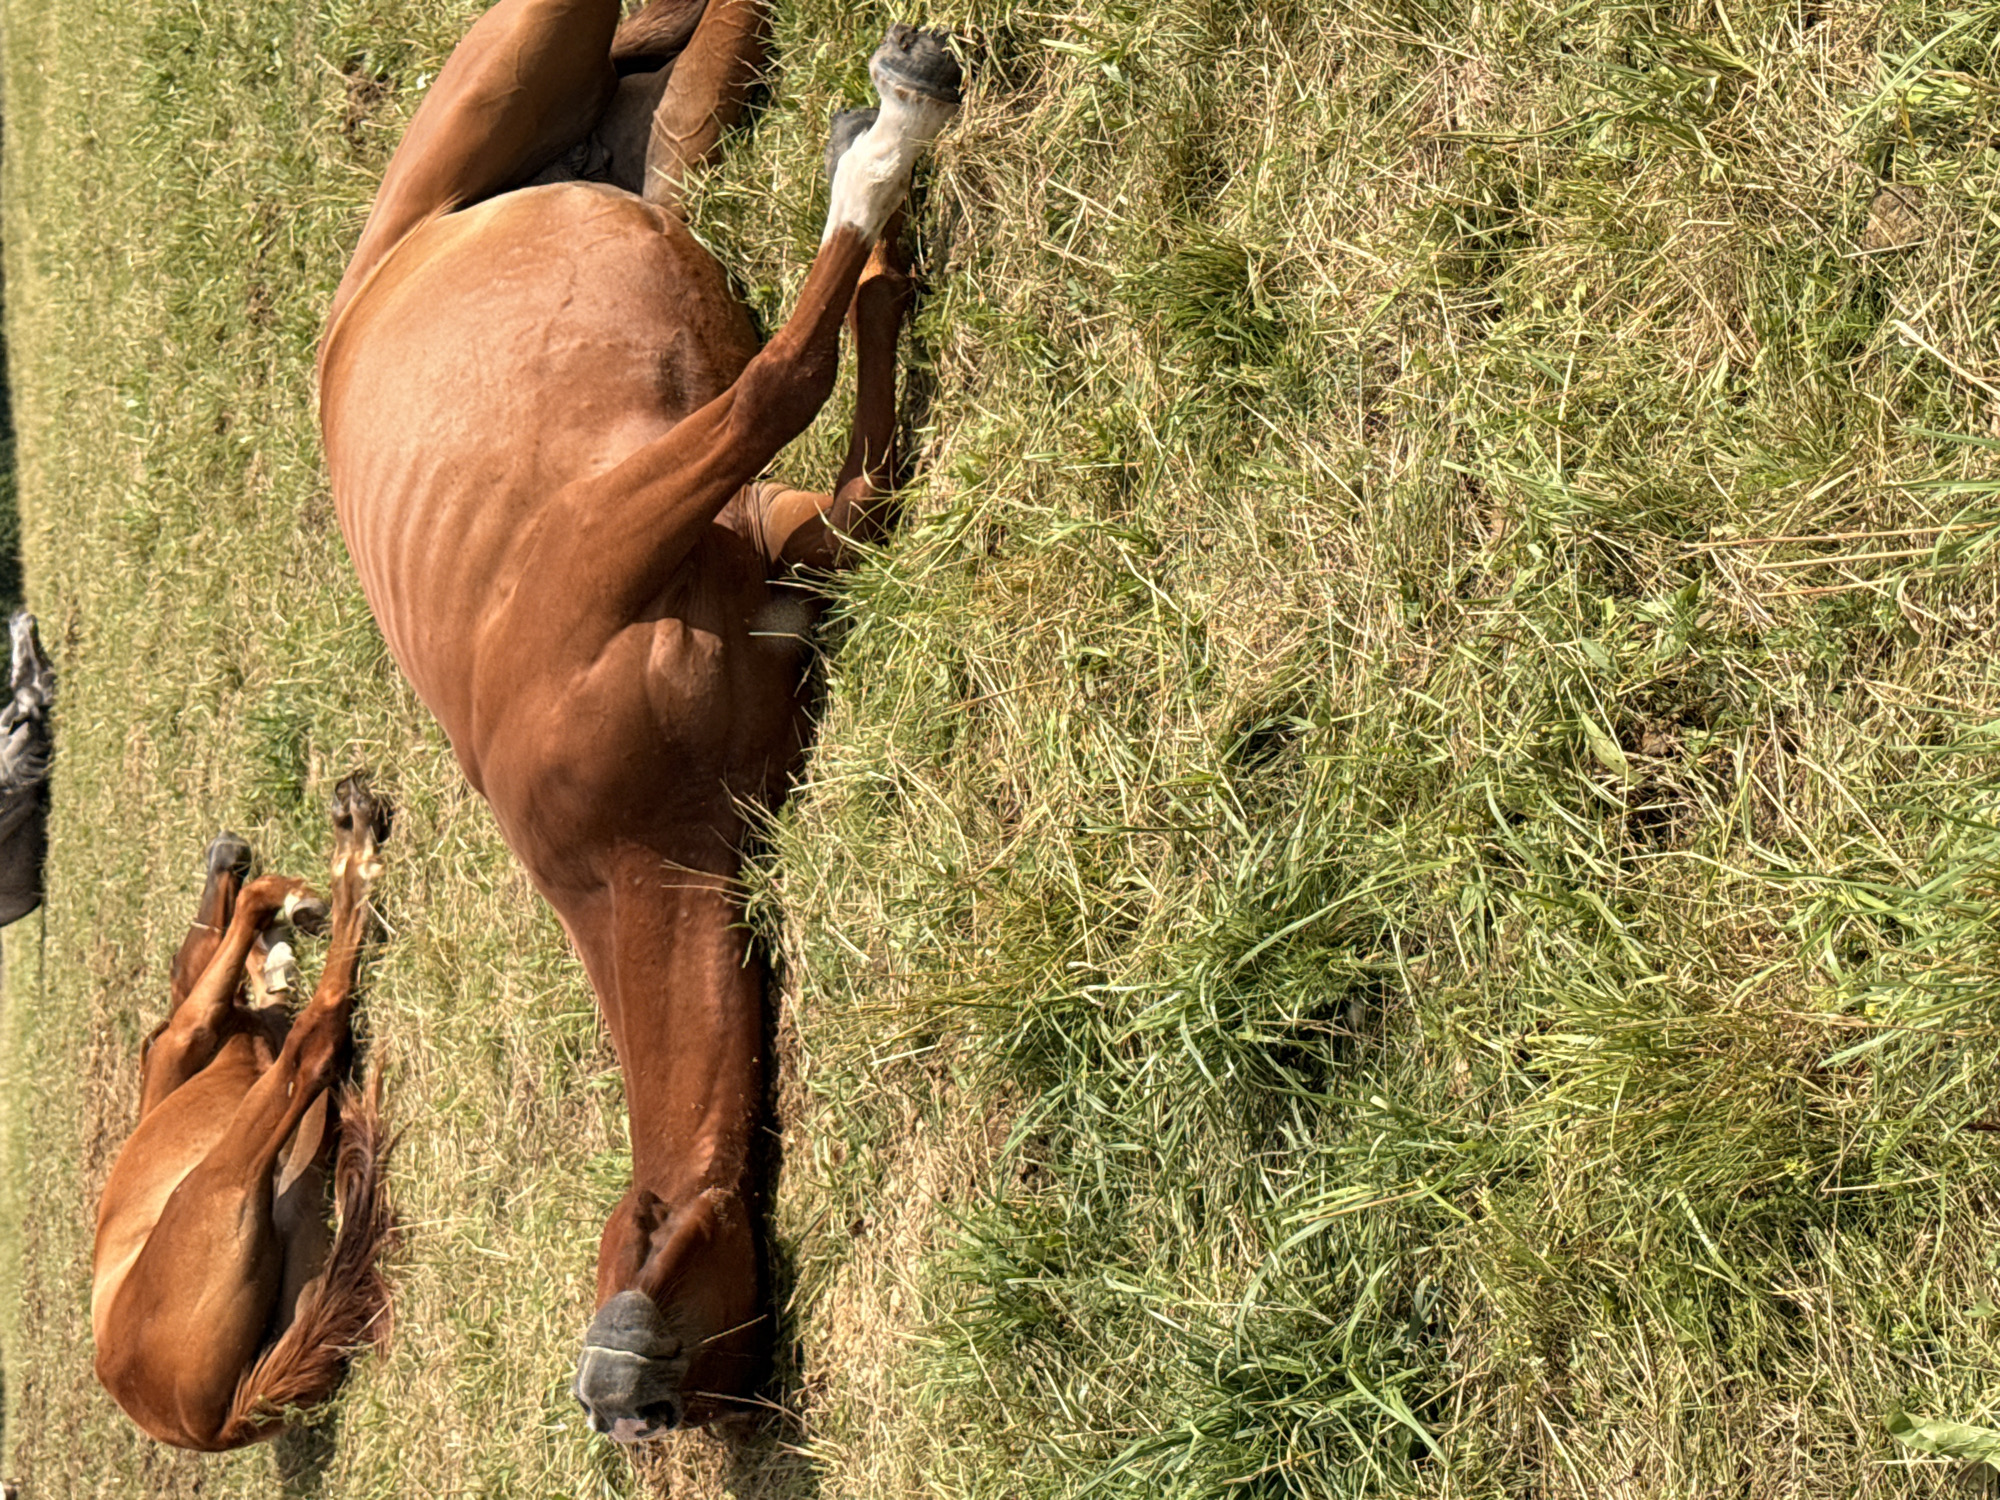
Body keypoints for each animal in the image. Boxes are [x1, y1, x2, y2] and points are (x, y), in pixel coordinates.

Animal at [89, 780, 394, 1450]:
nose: (228, 849)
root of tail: (208, 1425)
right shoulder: (189, 1028)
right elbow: (244, 920)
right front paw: (290, 901)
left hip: (302, 1238)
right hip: (221, 1179)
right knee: (314, 1047)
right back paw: (352, 858)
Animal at [317, 0, 961, 1439]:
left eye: (661, 1401)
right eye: (701, 1390)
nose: (631, 1390)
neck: (620, 850)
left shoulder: (613, 532)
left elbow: (781, 379)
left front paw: (882, 155)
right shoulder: (803, 537)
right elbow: (851, 425)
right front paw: (885, 237)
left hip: (535, 46)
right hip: (673, 128)